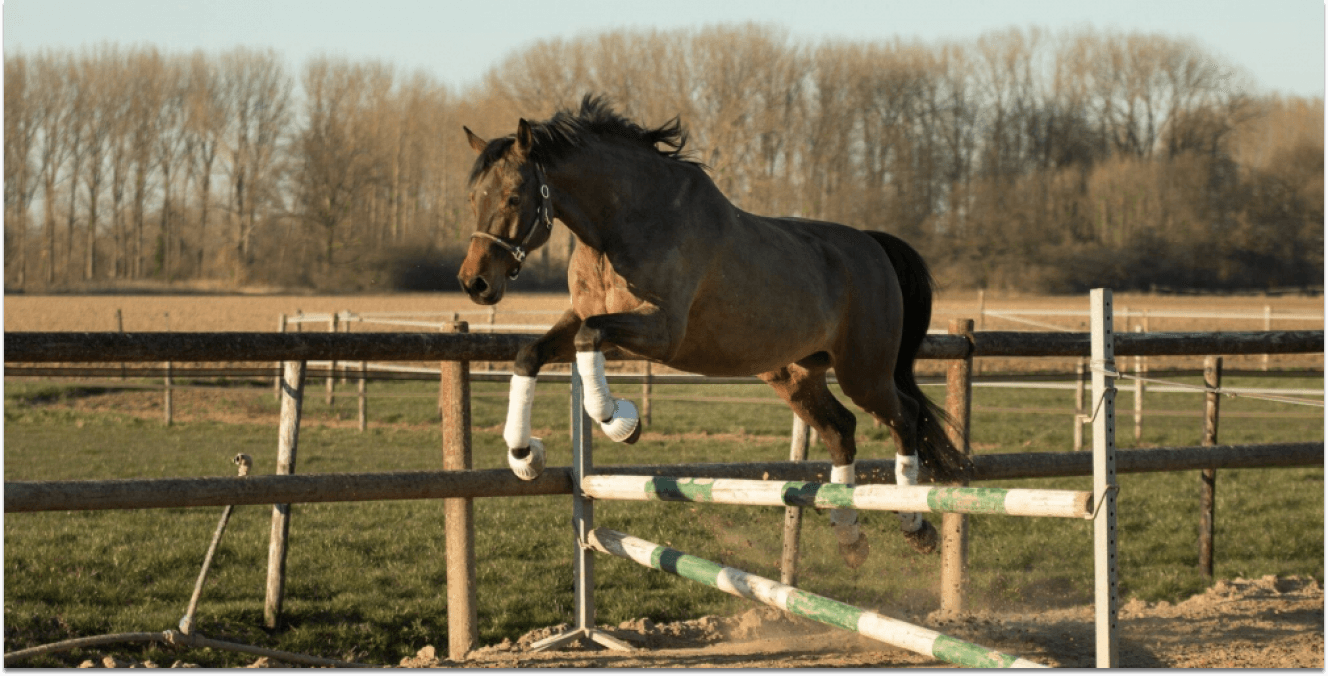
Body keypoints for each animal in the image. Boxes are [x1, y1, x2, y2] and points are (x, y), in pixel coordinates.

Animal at [457, 95, 972, 565]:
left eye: (513, 197)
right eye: (472, 197)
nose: (475, 283)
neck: (618, 228)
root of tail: (874, 247)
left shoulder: (661, 332)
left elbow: (590, 341)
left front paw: (620, 421)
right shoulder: (582, 317)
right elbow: (530, 354)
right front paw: (524, 455)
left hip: (864, 373)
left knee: (905, 417)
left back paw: (914, 523)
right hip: (794, 374)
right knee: (841, 429)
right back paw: (850, 536)